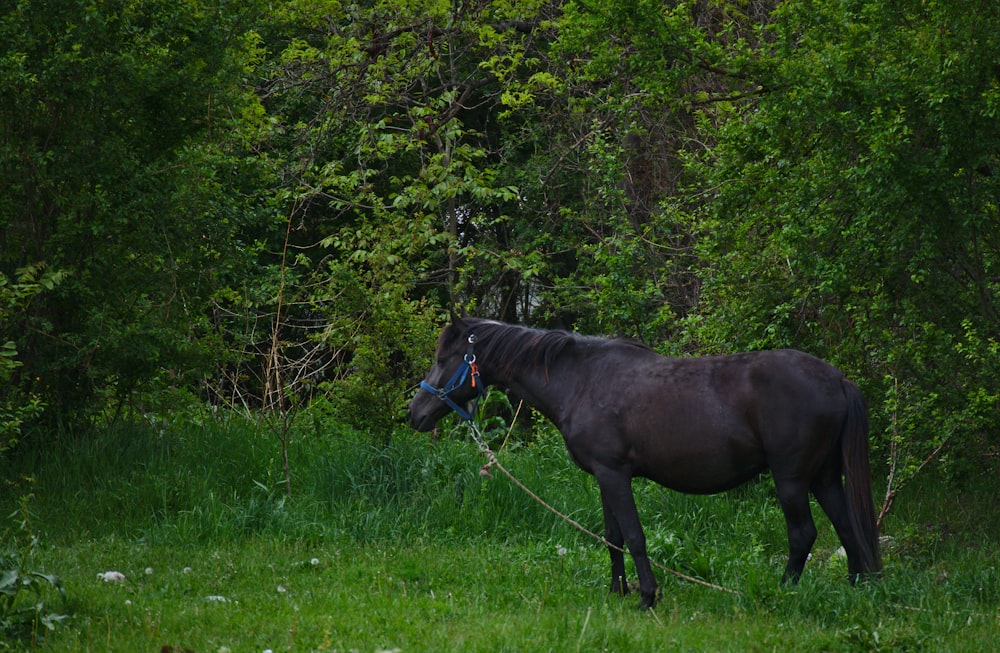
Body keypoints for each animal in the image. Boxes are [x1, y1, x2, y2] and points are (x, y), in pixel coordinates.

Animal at [406, 314, 884, 608]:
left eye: (445, 358)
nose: (416, 414)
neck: (580, 380)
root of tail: (838, 379)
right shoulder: (602, 477)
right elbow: (613, 537)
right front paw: (617, 591)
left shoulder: (615, 474)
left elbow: (635, 537)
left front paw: (647, 596)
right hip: (824, 477)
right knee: (847, 529)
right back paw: (856, 589)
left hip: (791, 479)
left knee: (803, 535)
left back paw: (782, 592)